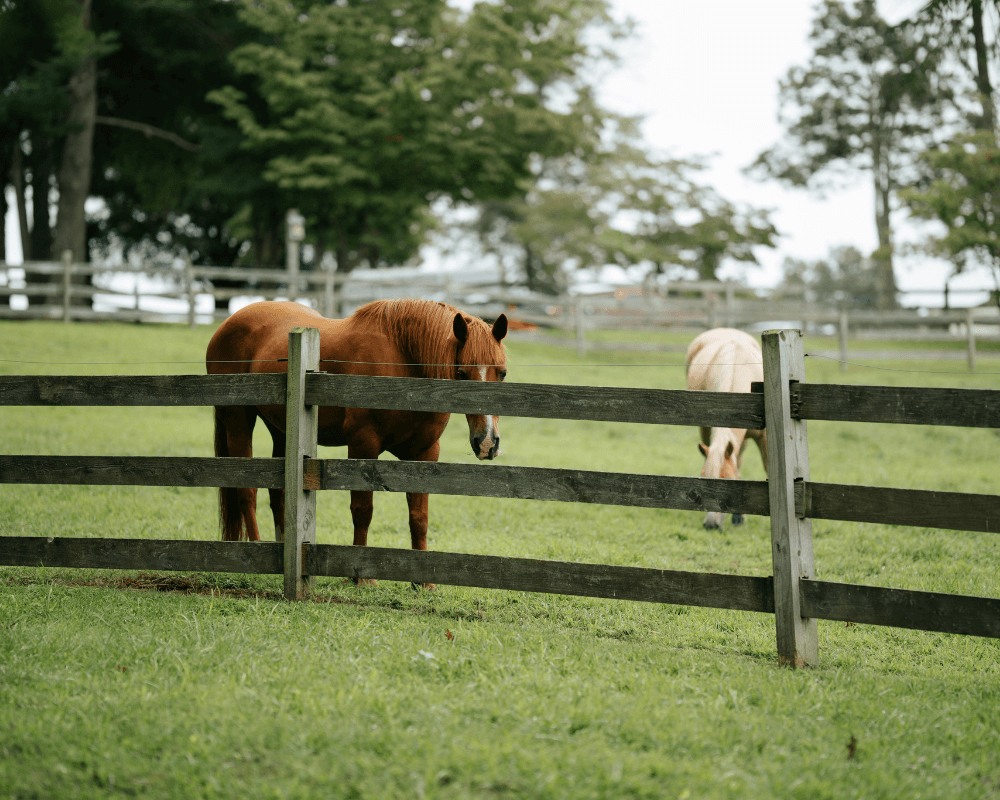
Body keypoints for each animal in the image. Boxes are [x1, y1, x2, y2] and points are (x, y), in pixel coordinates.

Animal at [206, 299, 508, 553]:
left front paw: (423, 582)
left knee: (277, 492)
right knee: (246, 491)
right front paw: (361, 577)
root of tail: (228, 323)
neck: (404, 364)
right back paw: (255, 547)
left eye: (502, 373)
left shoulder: (424, 452)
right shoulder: (363, 445)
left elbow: (419, 516)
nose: (487, 442)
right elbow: (363, 510)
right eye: (462, 373)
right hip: (238, 423)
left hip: (281, 430)